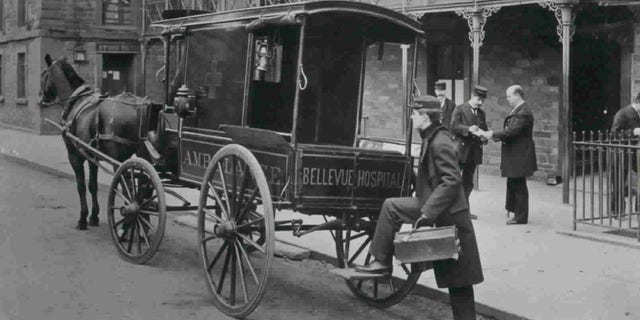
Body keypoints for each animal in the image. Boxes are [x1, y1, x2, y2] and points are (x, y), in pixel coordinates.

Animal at [40, 54, 142, 230]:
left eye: (44, 74)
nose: (42, 99)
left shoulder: (74, 155)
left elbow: (81, 185)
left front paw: (82, 218)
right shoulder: (92, 156)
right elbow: (93, 185)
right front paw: (94, 216)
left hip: (119, 160)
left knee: (128, 189)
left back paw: (129, 222)